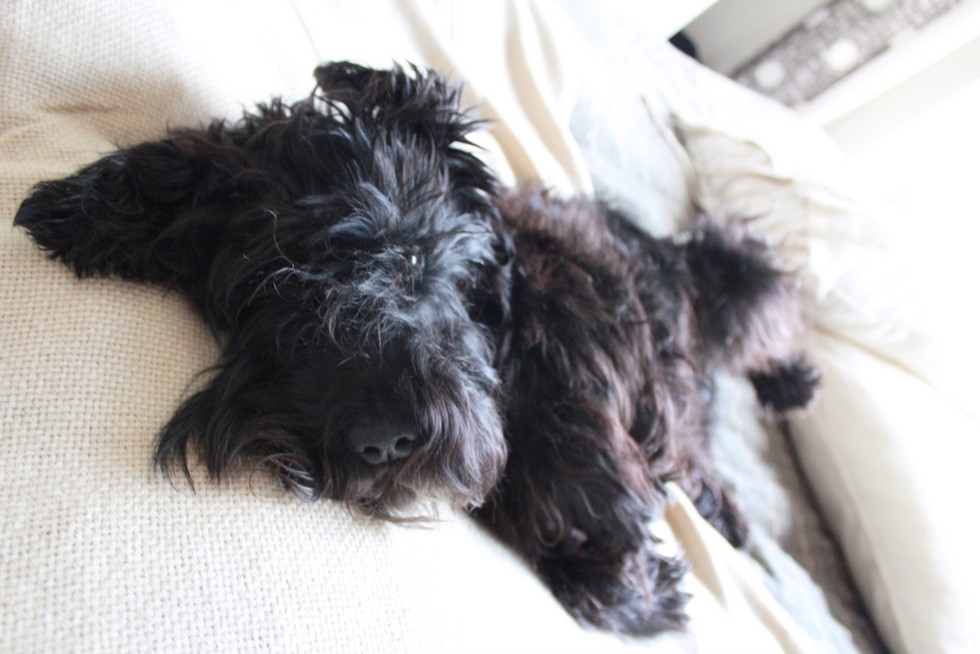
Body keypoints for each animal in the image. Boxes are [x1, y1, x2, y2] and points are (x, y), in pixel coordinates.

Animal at [14, 61, 817, 635]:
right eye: (264, 291)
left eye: (408, 256)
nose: (381, 442)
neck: (511, 339)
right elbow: (598, 563)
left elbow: (606, 556)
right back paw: (720, 504)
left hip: (736, 281)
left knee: (771, 315)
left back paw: (788, 391)